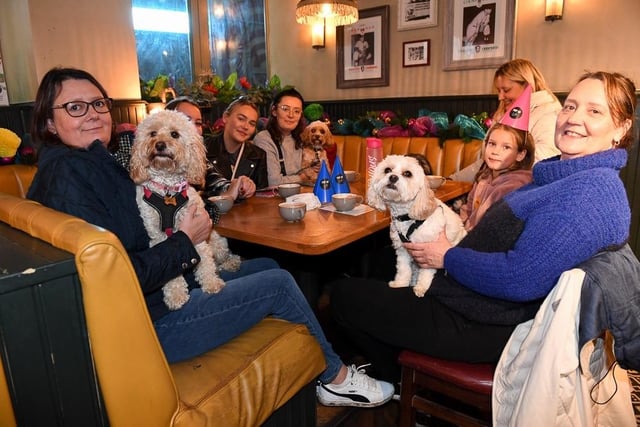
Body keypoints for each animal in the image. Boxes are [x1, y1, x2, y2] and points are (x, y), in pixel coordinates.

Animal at [129, 110, 241, 310]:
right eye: (152, 133)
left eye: (174, 134)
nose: (159, 144)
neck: (168, 190)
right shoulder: (159, 236)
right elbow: (172, 266)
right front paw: (176, 295)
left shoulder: (199, 231)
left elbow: (205, 261)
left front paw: (211, 283)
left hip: (217, 242)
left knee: (220, 258)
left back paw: (231, 263)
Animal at [368, 154, 468, 298]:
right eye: (387, 170)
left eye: (407, 173)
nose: (393, 177)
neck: (409, 218)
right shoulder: (403, 250)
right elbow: (403, 269)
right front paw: (400, 283)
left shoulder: (428, 251)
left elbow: (426, 272)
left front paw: (421, 287)